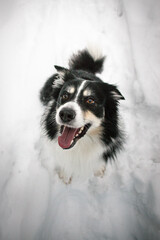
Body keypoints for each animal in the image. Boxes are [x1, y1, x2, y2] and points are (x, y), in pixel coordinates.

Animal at [39, 48, 124, 184]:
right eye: (64, 95)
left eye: (90, 100)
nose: (65, 114)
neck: (80, 146)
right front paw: (65, 176)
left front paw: (99, 170)